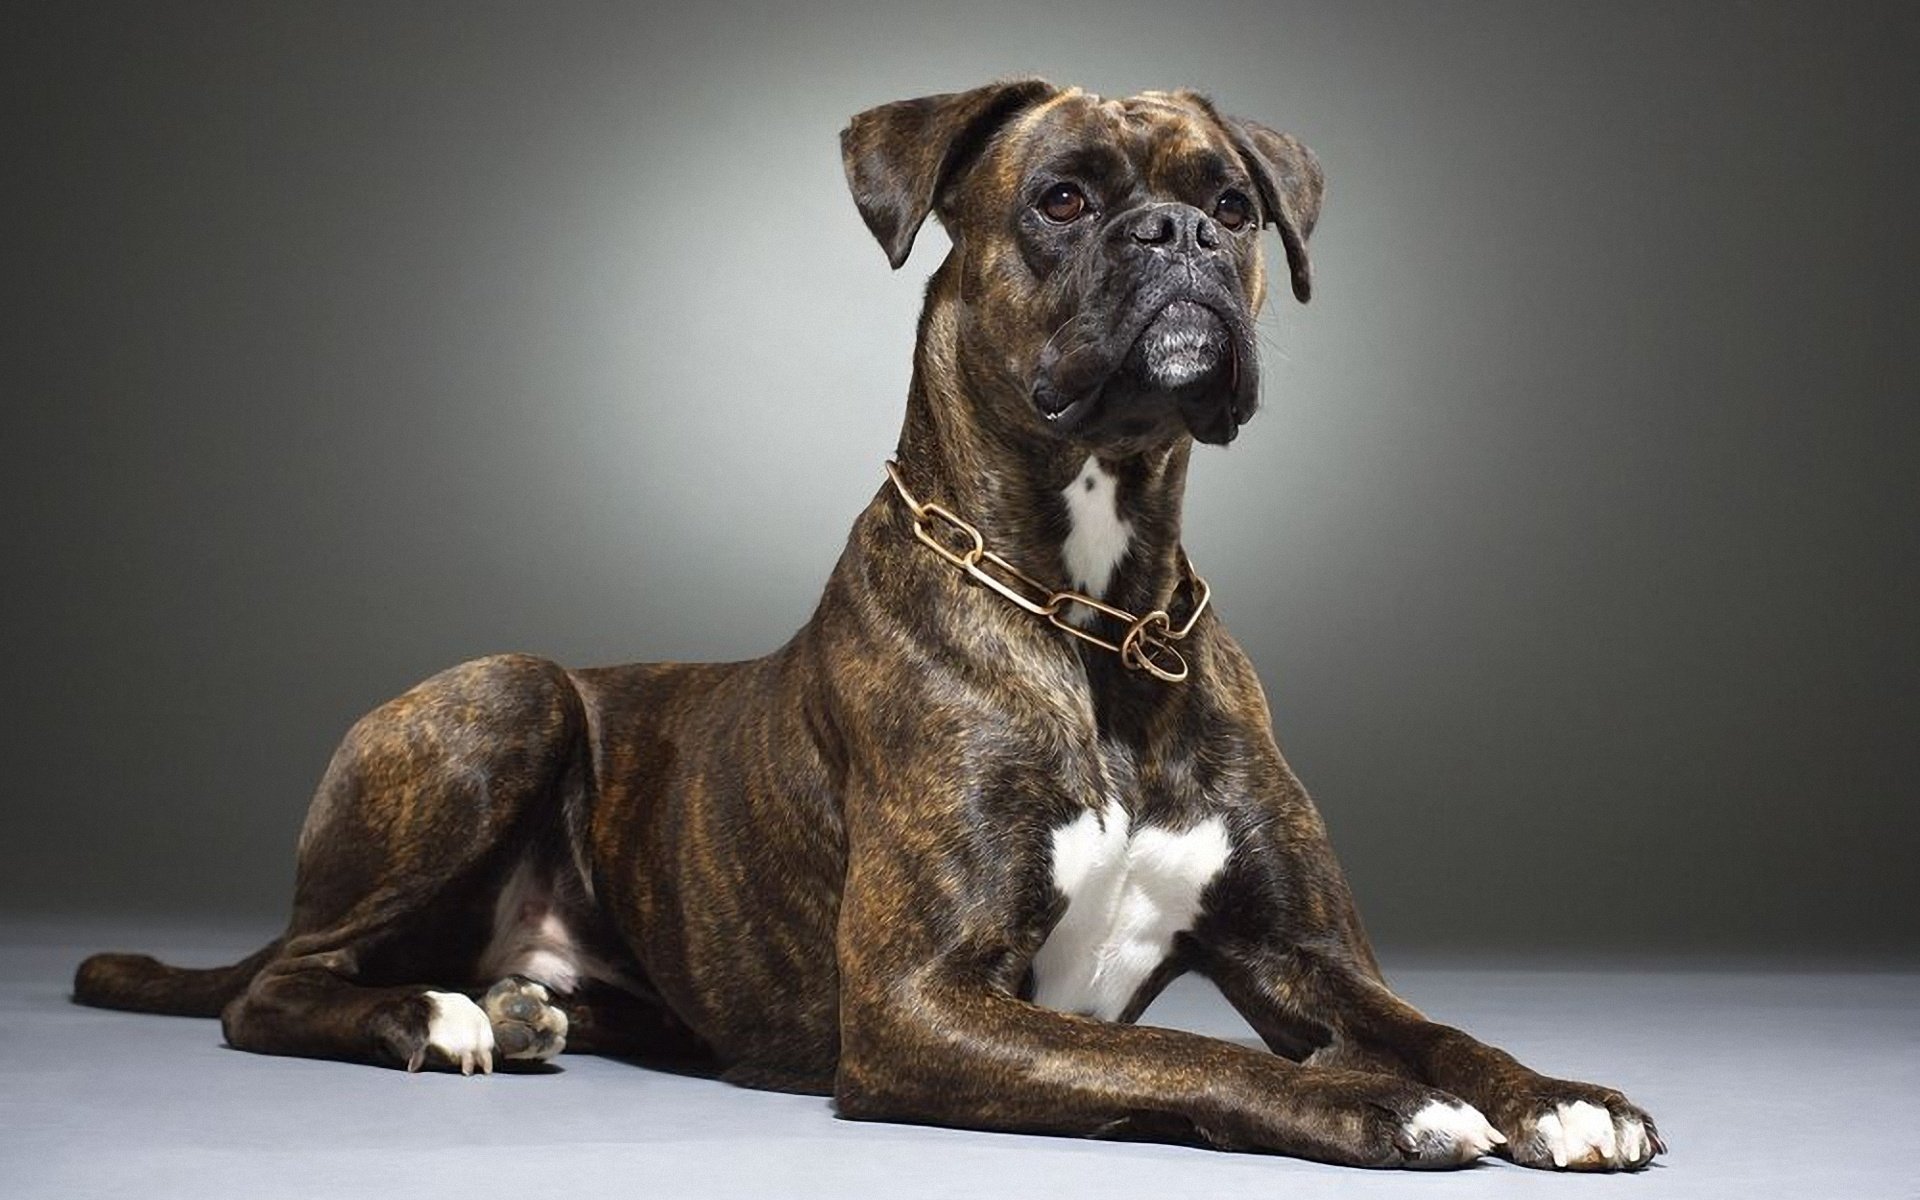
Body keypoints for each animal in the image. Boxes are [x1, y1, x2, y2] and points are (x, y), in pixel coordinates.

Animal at [76, 79, 1662, 1171]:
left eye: (1233, 206)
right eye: (1064, 200)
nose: (1175, 237)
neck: (1099, 616)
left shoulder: (1305, 958)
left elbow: (1434, 1022)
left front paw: (1560, 1097)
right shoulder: (917, 1007)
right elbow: (1192, 1064)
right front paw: (1385, 1106)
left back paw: (519, 1011)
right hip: (504, 693)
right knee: (273, 990)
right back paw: (435, 1019)